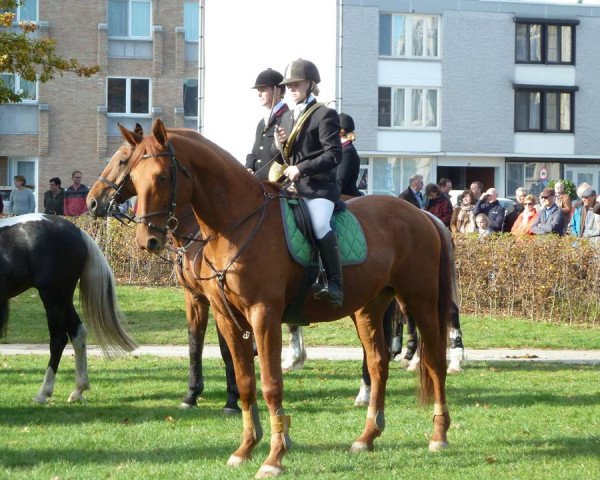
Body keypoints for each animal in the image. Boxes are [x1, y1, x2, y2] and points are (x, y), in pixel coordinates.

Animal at [119, 119, 452, 476]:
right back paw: (367, 436)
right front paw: (245, 448)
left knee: (434, 362)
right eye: (133, 175)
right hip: (369, 308)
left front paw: (274, 457)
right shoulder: (227, 317)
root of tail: (422, 214)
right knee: (377, 364)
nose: (147, 240)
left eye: (161, 176)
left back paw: (438, 435)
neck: (234, 224)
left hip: (420, 301)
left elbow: (270, 385)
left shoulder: (263, 316)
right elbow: (246, 382)